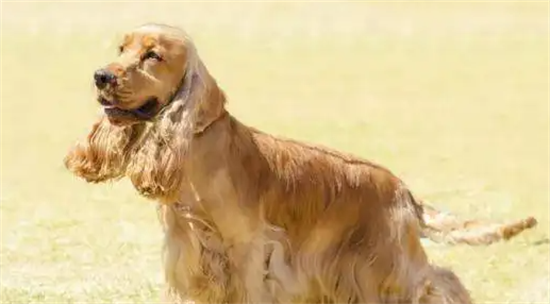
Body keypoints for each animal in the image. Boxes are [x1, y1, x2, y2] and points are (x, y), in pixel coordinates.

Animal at [63, 23, 536, 302]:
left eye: (153, 56)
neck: (195, 149)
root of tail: (403, 190)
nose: (101, 76)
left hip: (390, 262)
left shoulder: (248, 249)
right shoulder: (189, 256)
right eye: (121, 48)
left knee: (442, 279)